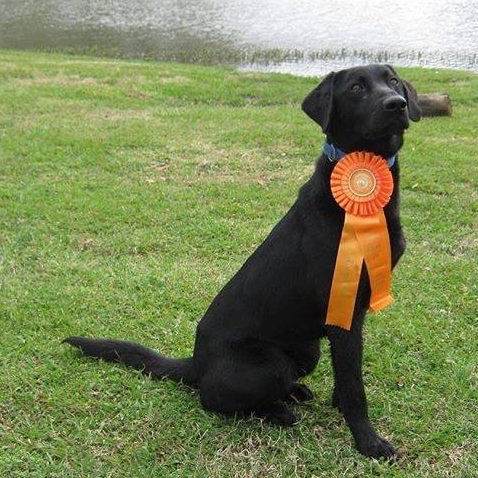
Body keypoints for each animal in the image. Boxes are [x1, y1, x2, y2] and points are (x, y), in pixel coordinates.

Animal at [63, 64, 418, 460]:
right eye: (356, 87)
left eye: (392, 81)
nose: (397, 103)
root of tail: (196, 362)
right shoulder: (341, 311)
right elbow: (355, 387)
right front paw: (368, 441)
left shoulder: (351, 315)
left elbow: (346, 377)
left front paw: (341, 408)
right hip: (269, 363)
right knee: (212, 399)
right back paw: (278, 412)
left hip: (307, 349)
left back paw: (294, 393)